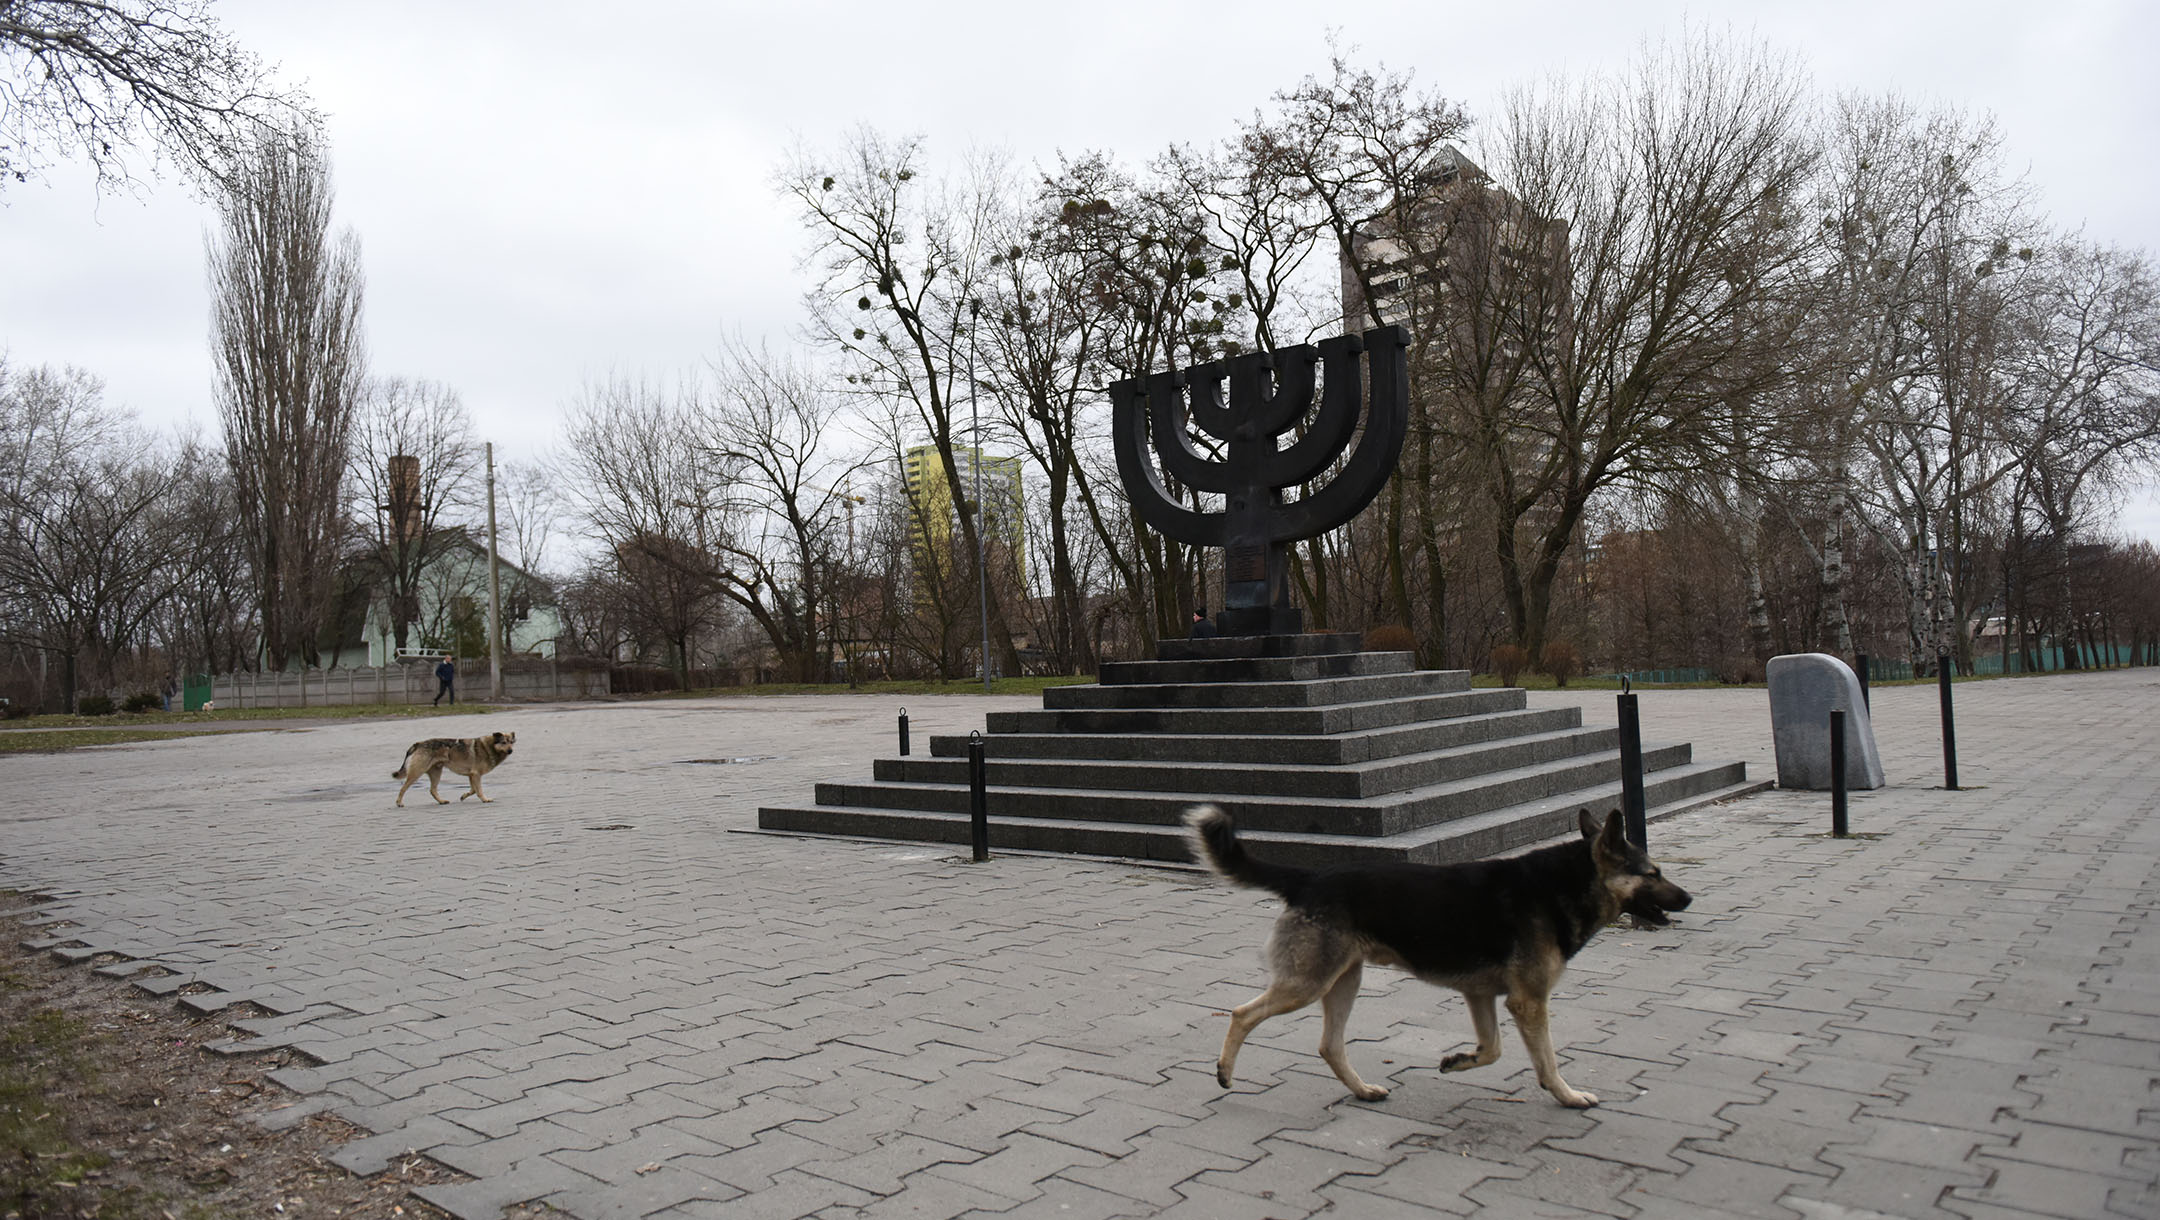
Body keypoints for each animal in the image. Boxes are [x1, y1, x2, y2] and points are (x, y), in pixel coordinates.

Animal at [1192, 803, 1693, 1105]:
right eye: (1653, 873)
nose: (1688, 898)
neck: (1563, 885)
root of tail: (1309, 878)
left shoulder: (1482, 996)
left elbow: (1492, 1050)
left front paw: (1459, 1061)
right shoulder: (1529, 1003)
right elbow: (1547, 1061)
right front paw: (1567, 1097)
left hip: (1344, 981)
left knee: (1329, 1045)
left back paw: (1363, 1090)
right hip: (1306, 983)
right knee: (1241, 1014)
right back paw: (1224, 1071)